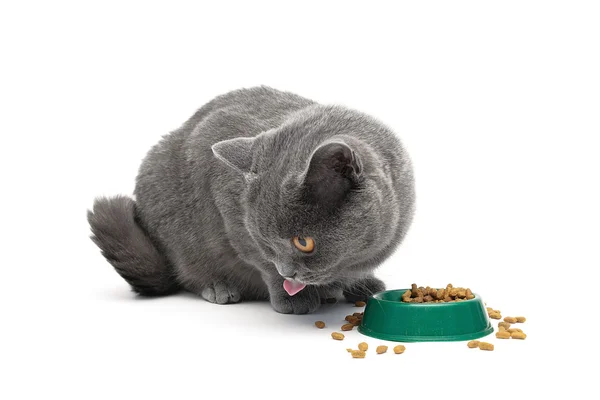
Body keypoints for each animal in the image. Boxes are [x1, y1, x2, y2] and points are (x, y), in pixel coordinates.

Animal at [89, 86, 414, 314]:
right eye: (263, 239)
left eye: (303, 242)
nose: (287, 272)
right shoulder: (227, 204)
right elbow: (261, 263)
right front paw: (291, 297)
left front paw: (362, 285)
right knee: (188, 270)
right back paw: (218, 286)